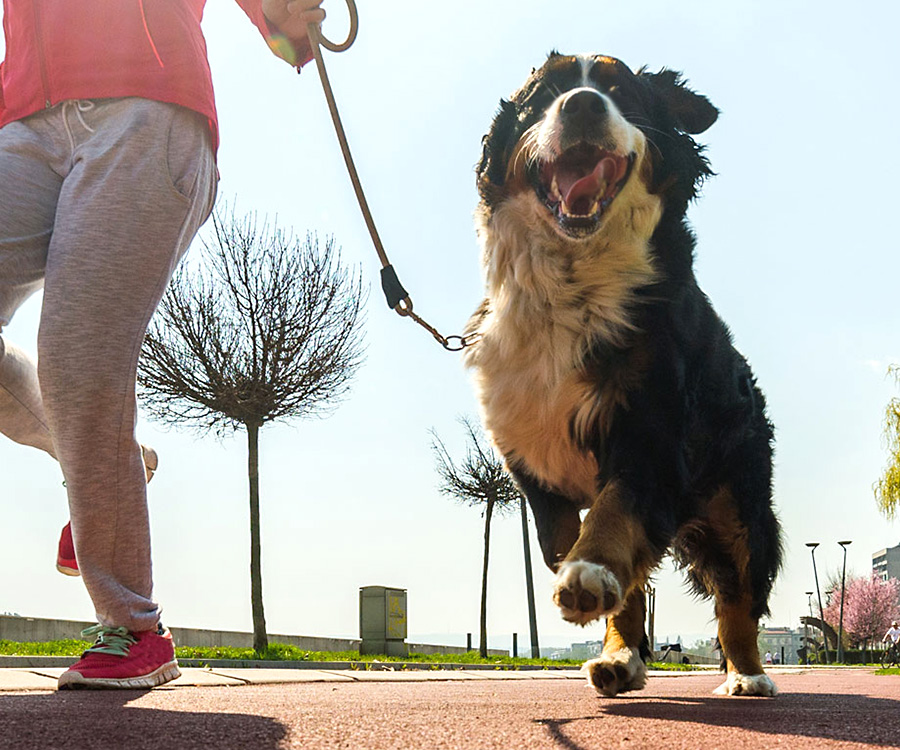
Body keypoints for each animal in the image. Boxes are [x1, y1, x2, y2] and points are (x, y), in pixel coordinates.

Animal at [464, 53, 780, 700]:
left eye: (622, 94)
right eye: (545, 94)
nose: (583, 104)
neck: (570, 281)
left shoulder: (650, 433)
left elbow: (614, 514)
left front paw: (591, 571)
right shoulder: (539, 473)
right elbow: (589, 552)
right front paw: (603, 609)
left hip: (740, 503)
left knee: (737, 598)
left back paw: (747, 675)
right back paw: (618, 660)